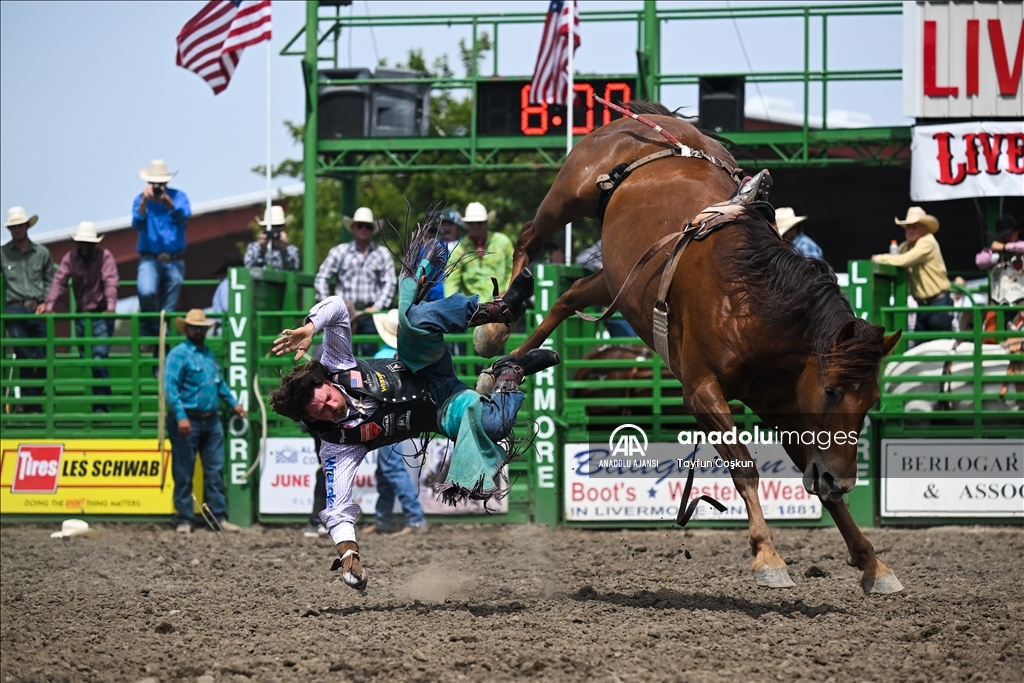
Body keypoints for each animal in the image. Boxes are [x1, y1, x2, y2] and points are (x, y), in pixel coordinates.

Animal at [487, 100, 905, 593]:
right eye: (832, 391)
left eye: (872, 399)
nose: (842, 481)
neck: (749, 300)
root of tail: (653, 122)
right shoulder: (702, 391)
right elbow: (744, 467)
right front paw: (768, 556)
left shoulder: (782, 406)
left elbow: (811, 469)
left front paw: (872, 562)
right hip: (568, 195)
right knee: (528, 236)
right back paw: (494, 323)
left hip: (616, 278)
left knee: (568, 297)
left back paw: (508, 364)